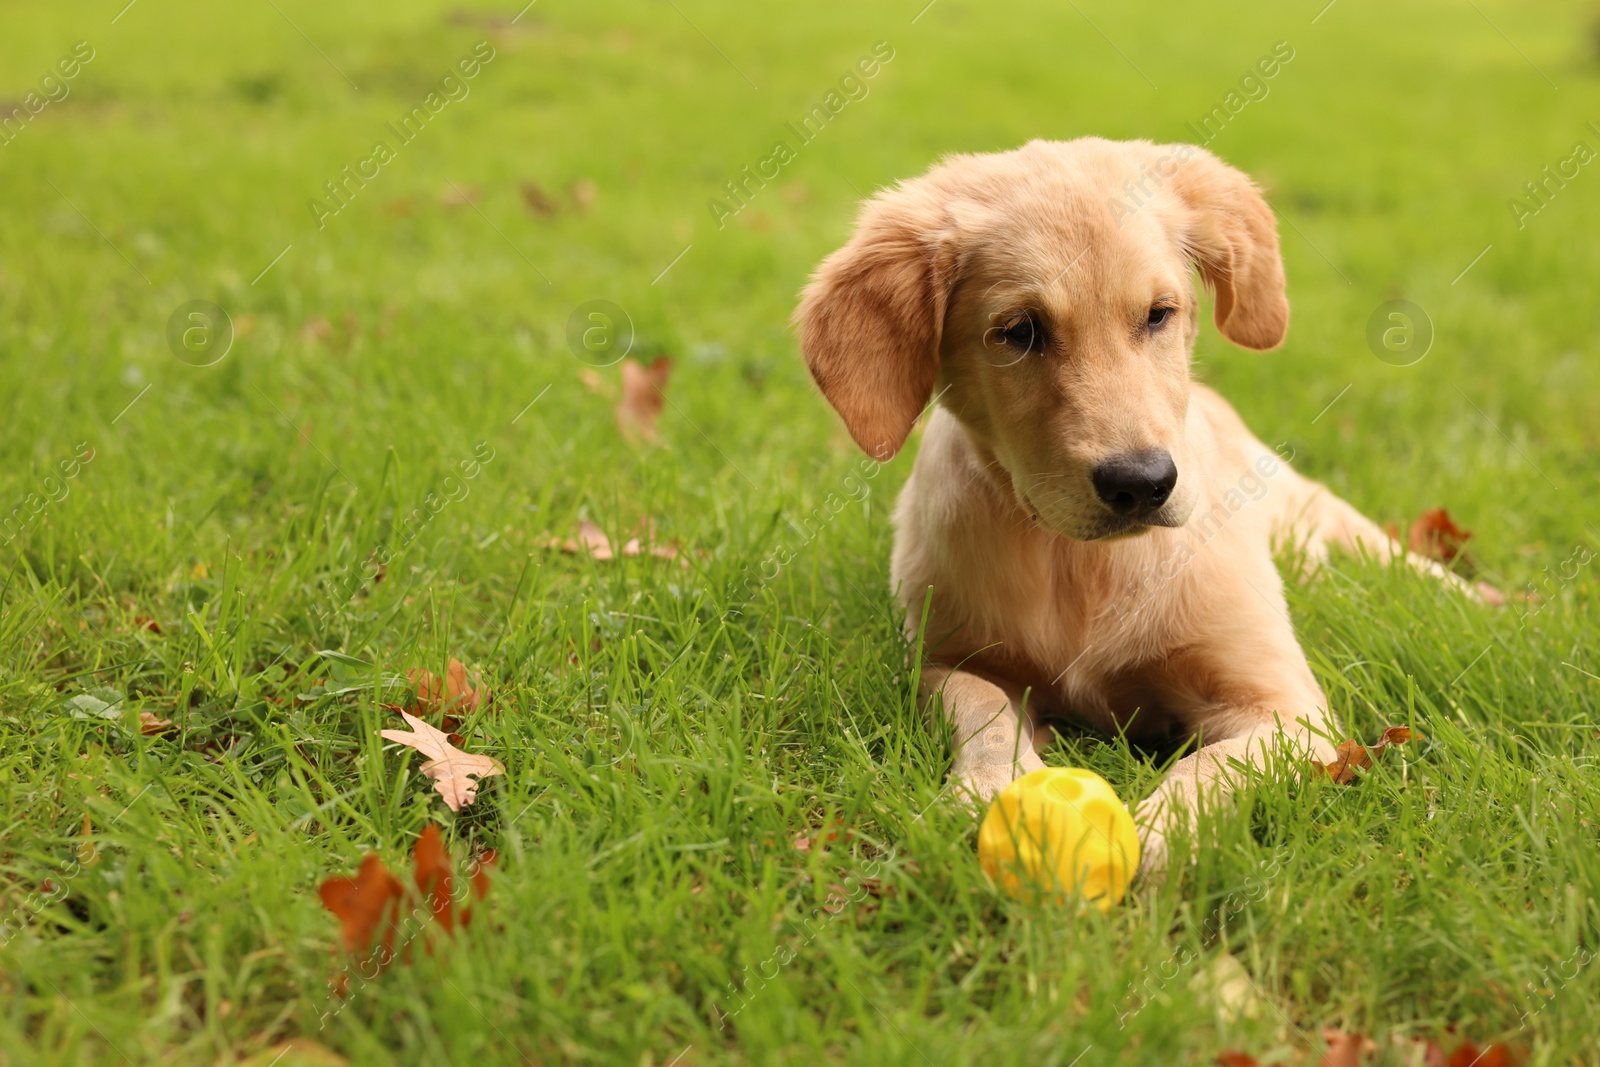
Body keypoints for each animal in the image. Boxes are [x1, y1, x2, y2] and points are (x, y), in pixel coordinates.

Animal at [793, 137, 1459, 876]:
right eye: (1018, 331)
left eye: (1158, 313)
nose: (1142, 483)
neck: (1077, 563)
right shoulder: (943, 659)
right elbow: (985, 707)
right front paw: (997, 790)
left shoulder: (1285, 708)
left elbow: (1213, 764)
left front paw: (1166, 828)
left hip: (1330, 523)